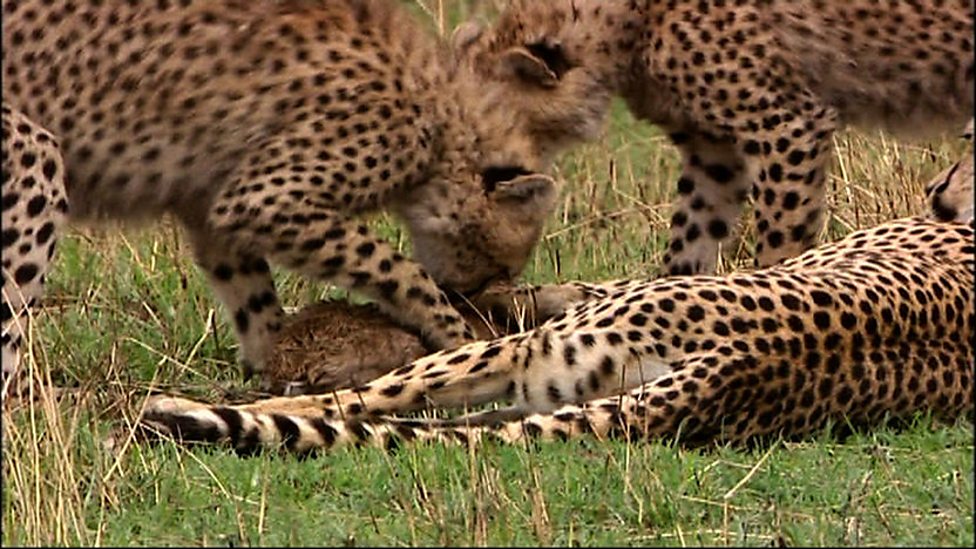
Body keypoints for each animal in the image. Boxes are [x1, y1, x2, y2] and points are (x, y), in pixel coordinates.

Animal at [1, 0, 564, 390]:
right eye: (495, 266)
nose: (472, 295)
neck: (448, 116)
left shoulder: (216, 207)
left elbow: (251, 292)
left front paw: (279, 357)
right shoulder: (266, 199)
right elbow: (396, 268)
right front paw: (456, 336)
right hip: (34, 161)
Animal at [139, 156, 976, 452]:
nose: (937, 186)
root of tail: (740, 366)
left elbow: (541, 290)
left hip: (519, 362)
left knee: (349, 404)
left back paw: (177, 409)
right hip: (556, 385)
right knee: (429, 424)